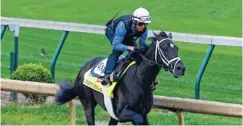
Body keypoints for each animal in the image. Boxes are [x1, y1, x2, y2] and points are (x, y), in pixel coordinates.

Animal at [54, 30, 185, 125]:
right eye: (164, 47)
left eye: (176, 48)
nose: (181, 68)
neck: (140, 80)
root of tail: (84, 67)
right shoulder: (122, 113)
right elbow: (138, 119)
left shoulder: (143, 113)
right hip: (88, 104)